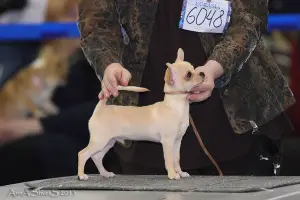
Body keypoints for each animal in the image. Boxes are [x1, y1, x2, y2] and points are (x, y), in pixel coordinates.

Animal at [77, 48, 205, 180]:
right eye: (188, 75)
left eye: (194, 68)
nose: (202, 73)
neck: (175, 107)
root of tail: (100, 108)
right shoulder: (168, 142)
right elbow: (169, 160)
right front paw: (172, 175)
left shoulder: (177, 141)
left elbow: (176, 159)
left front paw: (180, 172)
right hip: (100, 141)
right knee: (83, 154)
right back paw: (81, 175)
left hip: (108, 142)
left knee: (96, 156)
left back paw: (105, 173)